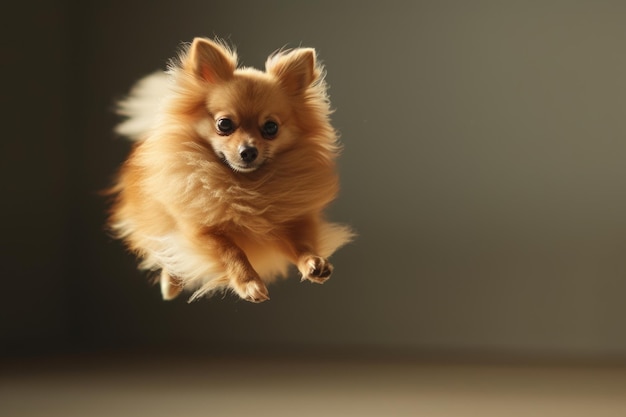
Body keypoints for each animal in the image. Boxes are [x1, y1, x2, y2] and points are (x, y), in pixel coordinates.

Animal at [107, 37, 352, 300]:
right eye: (224, 124)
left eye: (271, 128)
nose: (248, 151)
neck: (244, 185)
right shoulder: (198, 230)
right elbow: (231, 250)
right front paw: (248, 282)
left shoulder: (290, 222)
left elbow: (301, 243)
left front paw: (312, 261)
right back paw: (170, 283)